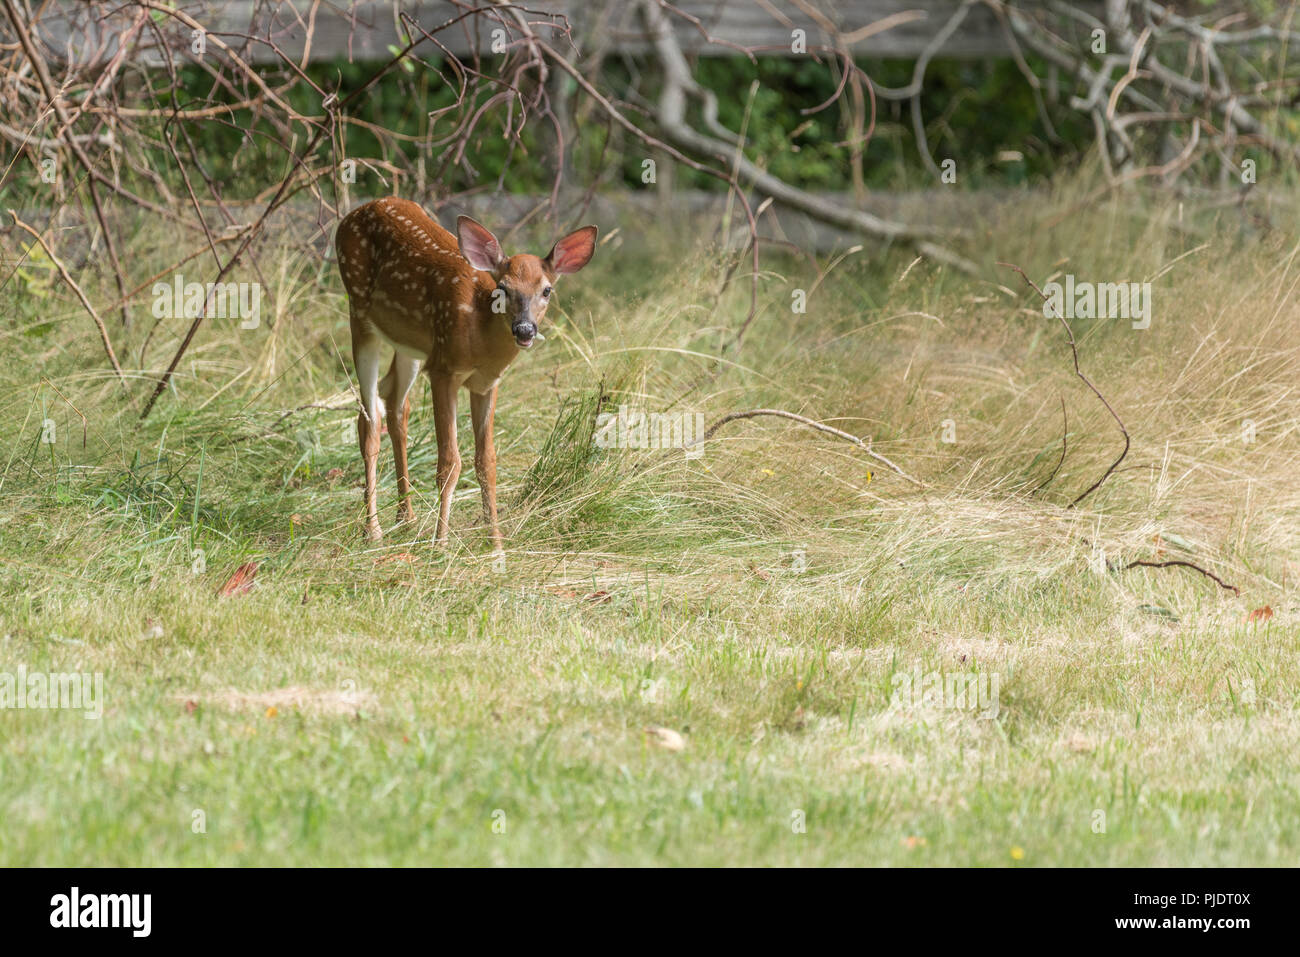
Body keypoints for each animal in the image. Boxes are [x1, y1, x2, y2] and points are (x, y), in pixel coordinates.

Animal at [335, 197, 597, 548]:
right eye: (503, 288)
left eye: (547, 291)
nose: (524, 329)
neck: (480, 335)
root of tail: (358, 210)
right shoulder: (444, 370)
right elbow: (449, 461)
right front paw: (441, 544)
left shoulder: (486, 383)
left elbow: (487, 462)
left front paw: (496, 546)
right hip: (360, 313)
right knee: (369, 420)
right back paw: (372, 530)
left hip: (410, 343)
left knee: (396, 406)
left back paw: (406, 518)